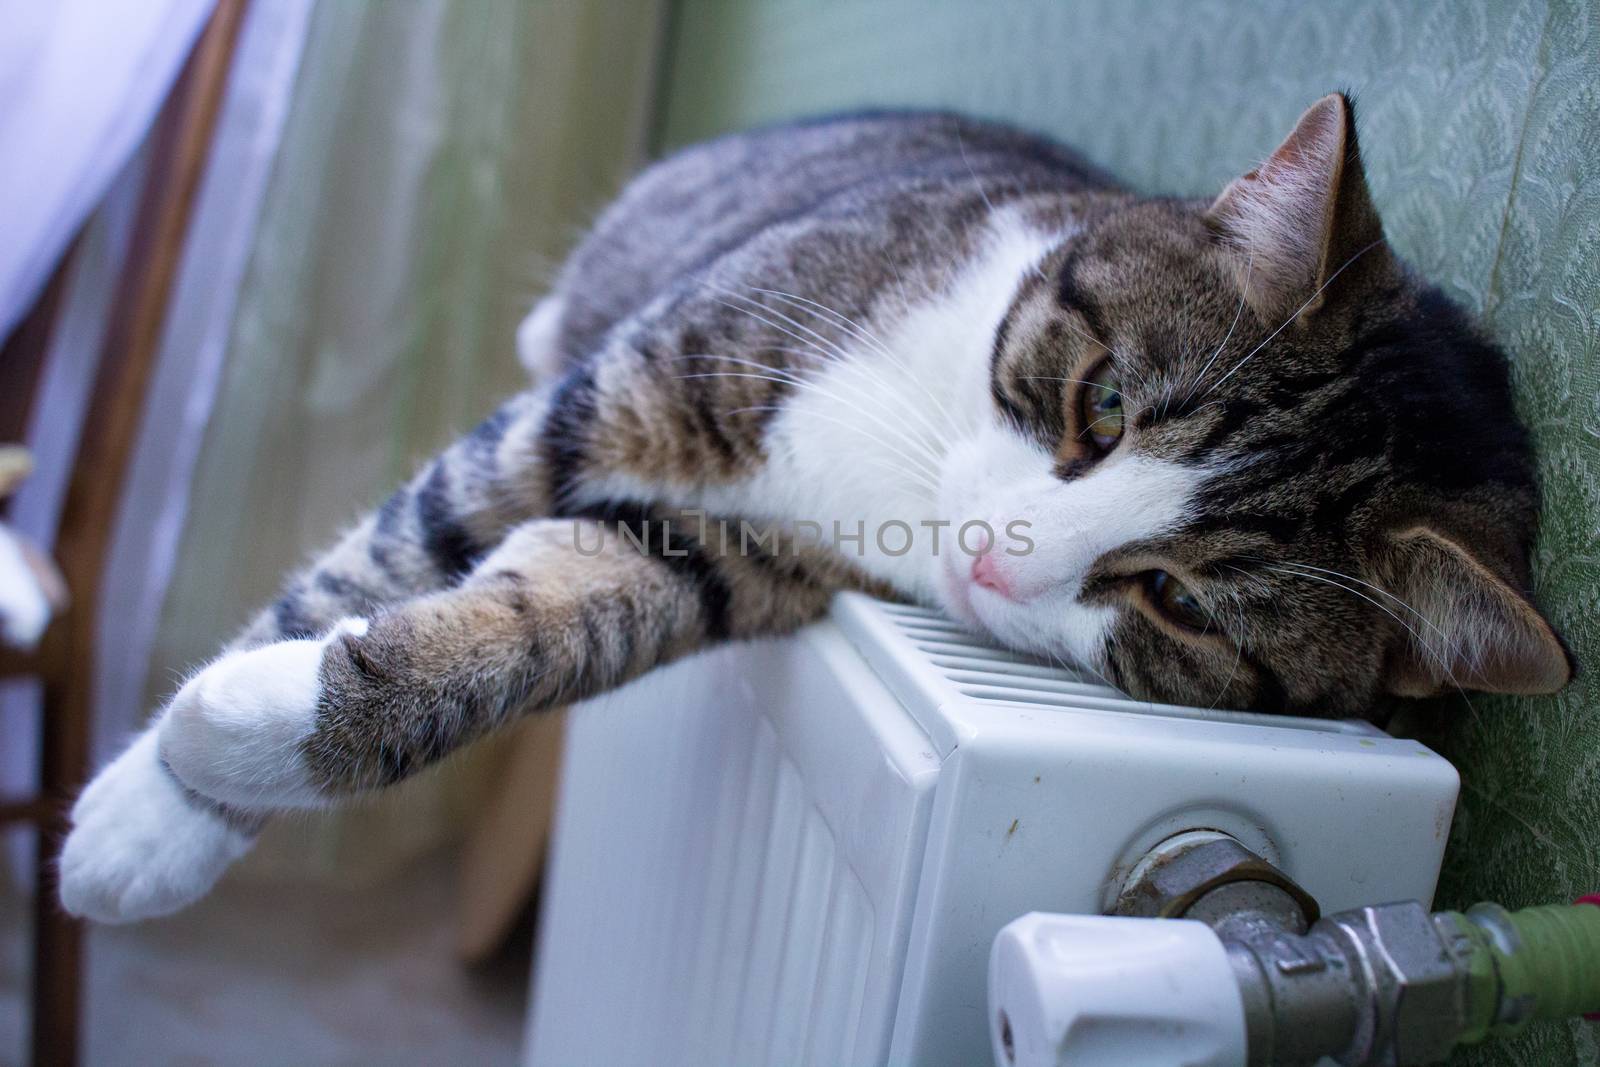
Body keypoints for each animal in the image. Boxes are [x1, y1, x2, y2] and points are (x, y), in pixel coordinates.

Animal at [65, 95, 1574, 921]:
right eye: (1098, 406)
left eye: (1180, 600)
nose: (991, 556)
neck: (910, 453)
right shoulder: (643, 382)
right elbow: (404, 536)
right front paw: (154, 810)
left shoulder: (738, 548)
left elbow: (564, 616)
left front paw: (252, 732)